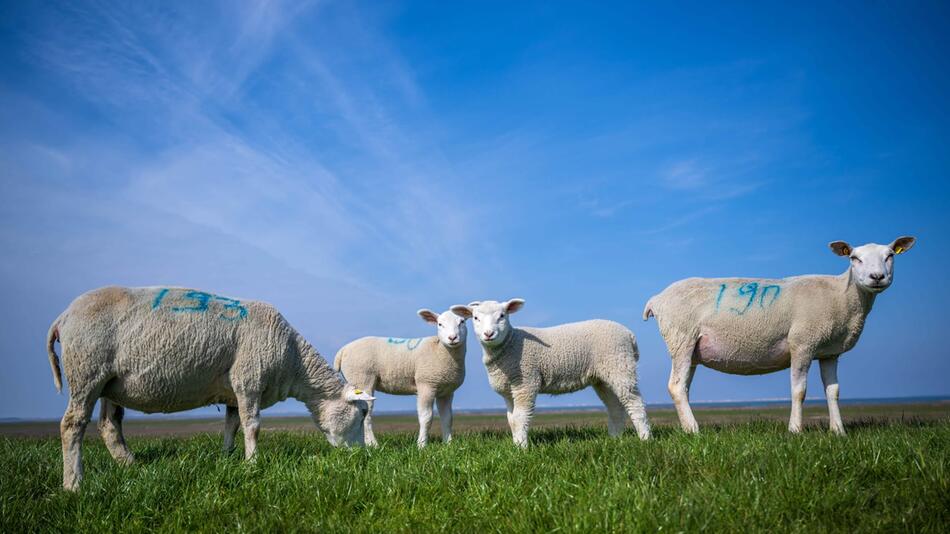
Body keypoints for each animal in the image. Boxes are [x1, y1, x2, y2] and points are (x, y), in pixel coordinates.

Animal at [46, 286, 372, 492]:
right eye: (360, 415)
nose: (359, 458)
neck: (293, 360)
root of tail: (63, 317)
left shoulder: (233, 390)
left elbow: (232, 425)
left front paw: (227, 458)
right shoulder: (248, 379)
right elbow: (252, 426)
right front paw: (253, 464)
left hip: (110, 383)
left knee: (109, 425)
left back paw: (131, 466)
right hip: (87, 371)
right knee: (72, 424)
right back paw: (74, 484)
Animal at [334, 308, 468, 450]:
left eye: (462, 322)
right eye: (440, 324)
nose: (452, 338)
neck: (439, 349)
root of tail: (344, 349)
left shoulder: (446, 391)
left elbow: (447, 418)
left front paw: (449, 444)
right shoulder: (426, 385)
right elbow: (426, 417)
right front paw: (421, 445)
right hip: (362, 378)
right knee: (366, 414)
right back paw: (373, 444)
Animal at [450, 302, 652, 448]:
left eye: (502, 316)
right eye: (475, 318)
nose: (488, 334)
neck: (510, 344)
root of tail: (629, 334)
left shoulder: (526, 382)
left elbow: (521, 417)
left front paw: (522, 448)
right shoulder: (508, 390)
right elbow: (512, 420)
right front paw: (515, 445)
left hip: (620, 364)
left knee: (635, 403)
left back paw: (645, 439)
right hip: (603, 377)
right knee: (615, 407)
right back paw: (615, 439)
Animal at [644, 238, 920, 436]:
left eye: (890, 255)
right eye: (854, 258)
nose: (877, 277)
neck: (842, 295)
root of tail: (657, 298)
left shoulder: (830, 352)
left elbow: (833, 391)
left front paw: (838, 431)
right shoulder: (803, 342)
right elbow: (799, 391)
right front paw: (795, 430)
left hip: (691, 349)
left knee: (683, 388)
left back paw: (687, 427)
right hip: (681, 338)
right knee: (676, 386)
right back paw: (694, 430)